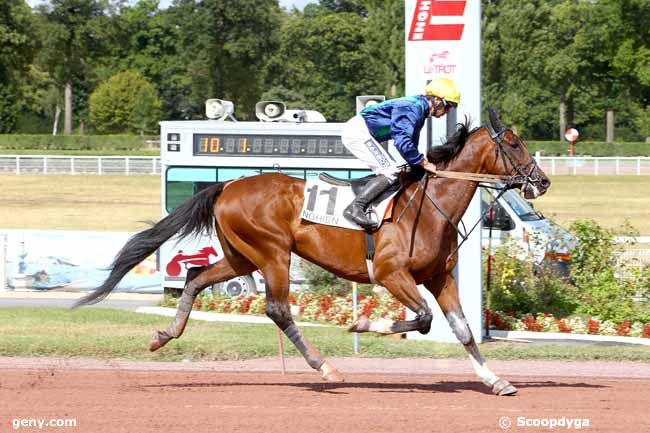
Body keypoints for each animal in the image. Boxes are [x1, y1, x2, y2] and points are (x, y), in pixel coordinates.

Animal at [76, 110, 548, 394]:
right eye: (515, 144)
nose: (541, 182)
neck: (430, 205)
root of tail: (227, 185)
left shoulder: (438, 277)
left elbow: (463, 330)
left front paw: (496, 379)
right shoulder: (393, 275)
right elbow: (425, 320)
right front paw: (363, 323)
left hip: (241, 256)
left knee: (194, 279)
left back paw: (164, 335)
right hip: (272, 254)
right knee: (278, 309)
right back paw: (325, 367)